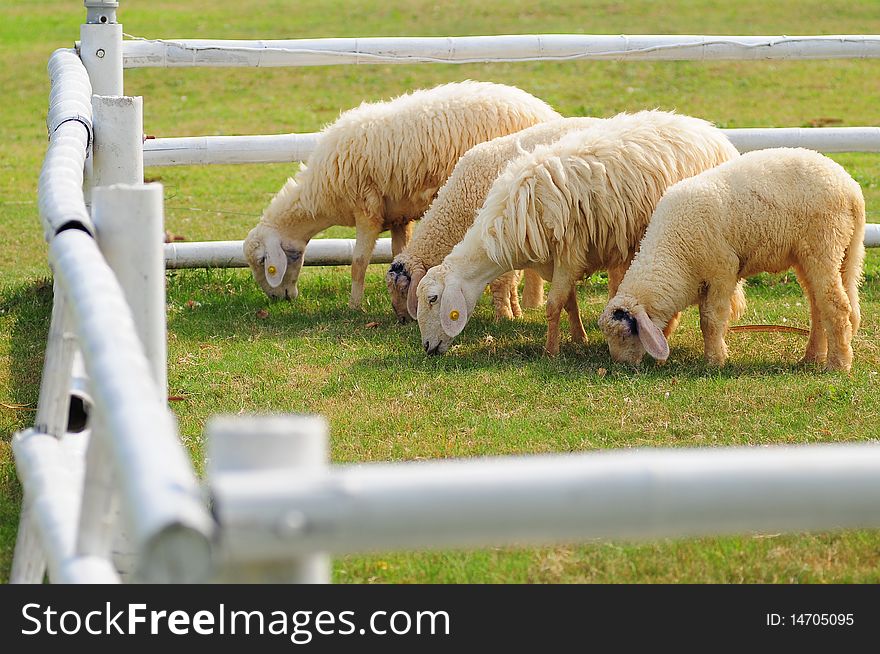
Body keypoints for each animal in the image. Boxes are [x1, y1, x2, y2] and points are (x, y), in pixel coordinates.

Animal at [241, 79, 560, 310]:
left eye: (263, 262)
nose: (278, 299)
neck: (320, 195)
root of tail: (547, 112)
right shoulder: (398, 217)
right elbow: (397, 252)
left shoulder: (366, 209)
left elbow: (358, 262)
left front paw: (354, 307)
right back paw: (532, 303)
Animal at [384, 117, 604, 326]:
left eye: (403, 288)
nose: (402, 319)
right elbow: (512, 281)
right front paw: (515, 312)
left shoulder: (496, 237)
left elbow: (501, 281)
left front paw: (504, 316)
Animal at [416, 109, 740, 356]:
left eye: (433, 298)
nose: (428, 348)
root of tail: (712, 133)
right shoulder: (555, 260)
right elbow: (568, 302)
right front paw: (578, 337)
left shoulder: (571, 252)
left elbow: (552, 305)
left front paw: (551, 351)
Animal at [596, 149, 864, 374]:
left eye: (624, 334)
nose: (620, 365)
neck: (674, 252)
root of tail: (852, 189)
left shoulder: (722, 270)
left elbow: (711, 320)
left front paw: (714, 361)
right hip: (811, 256)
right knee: (818, 306)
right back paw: (812, 358)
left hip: (824, 245)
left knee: (836, 306)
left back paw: (837, 364)